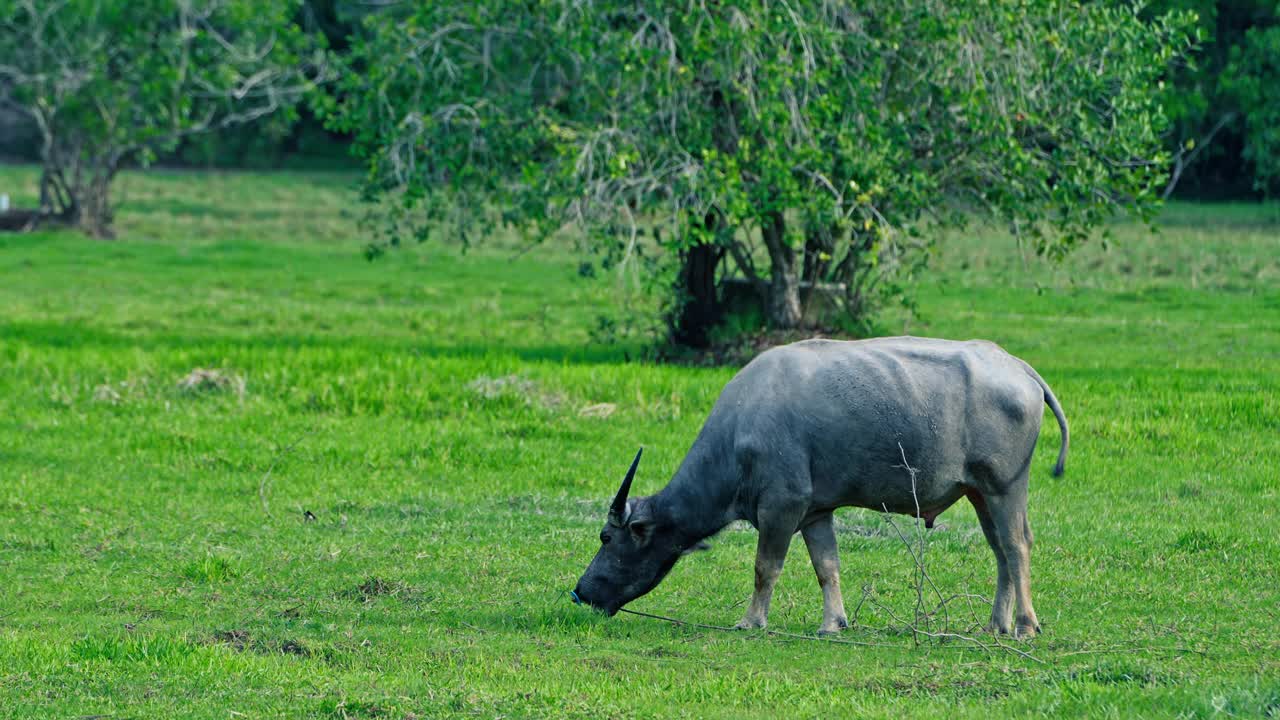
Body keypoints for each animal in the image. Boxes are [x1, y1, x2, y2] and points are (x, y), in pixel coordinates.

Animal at [573, 333, 1070, 635]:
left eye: (606, 537)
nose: (579, 592)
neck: (739, 434)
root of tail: (1019, 368)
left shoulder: (782, 508)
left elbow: (765, 568)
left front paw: (752, 621)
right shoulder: (815, 514)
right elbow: (826, 567)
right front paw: (834, 623)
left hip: (1004, 487)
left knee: (1017, 546)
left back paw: (1025, 624)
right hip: (979, 493)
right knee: (1000, 550)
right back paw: (996, 624)